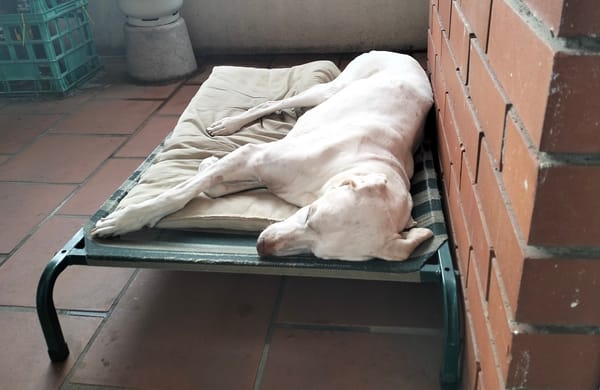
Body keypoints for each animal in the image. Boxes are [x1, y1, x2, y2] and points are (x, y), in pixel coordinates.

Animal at [91, 50, 434, 260]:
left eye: (317, 252)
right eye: (310, 215)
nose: (262, 247)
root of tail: (400, 54)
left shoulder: (258, 170)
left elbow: (212, 183)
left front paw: (208, 165)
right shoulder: (252, 154)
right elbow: (178, 193)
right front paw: (126, 219)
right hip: (329, 89)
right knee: (271, 104)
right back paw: (230, 123)